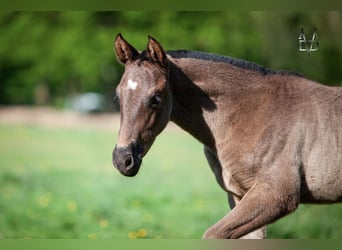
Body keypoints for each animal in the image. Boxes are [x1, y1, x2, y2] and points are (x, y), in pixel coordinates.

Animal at [112, 33, 342, 238]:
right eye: (117, 95)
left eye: (156, 98)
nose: (122, 160)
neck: (249, 116)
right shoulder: (240, 196)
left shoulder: (277, 195)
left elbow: (213, 234)